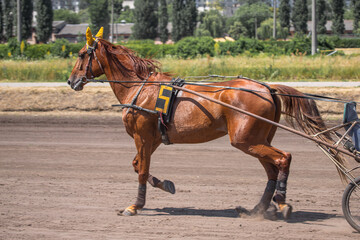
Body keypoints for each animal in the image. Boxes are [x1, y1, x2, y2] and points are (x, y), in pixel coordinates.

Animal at [67, 27, 344, 218]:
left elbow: (142, 170)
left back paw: (282, 202)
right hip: (258, 139)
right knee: (272, 170)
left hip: (245, 140)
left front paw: (135, 205)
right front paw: (166, 185)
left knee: (283, 158)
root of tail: (267, 88)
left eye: (81, 54)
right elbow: (138, 166)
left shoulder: (142, 136)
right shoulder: (153, 138)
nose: (71, 81)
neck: (141, 89)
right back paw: (257, 209)